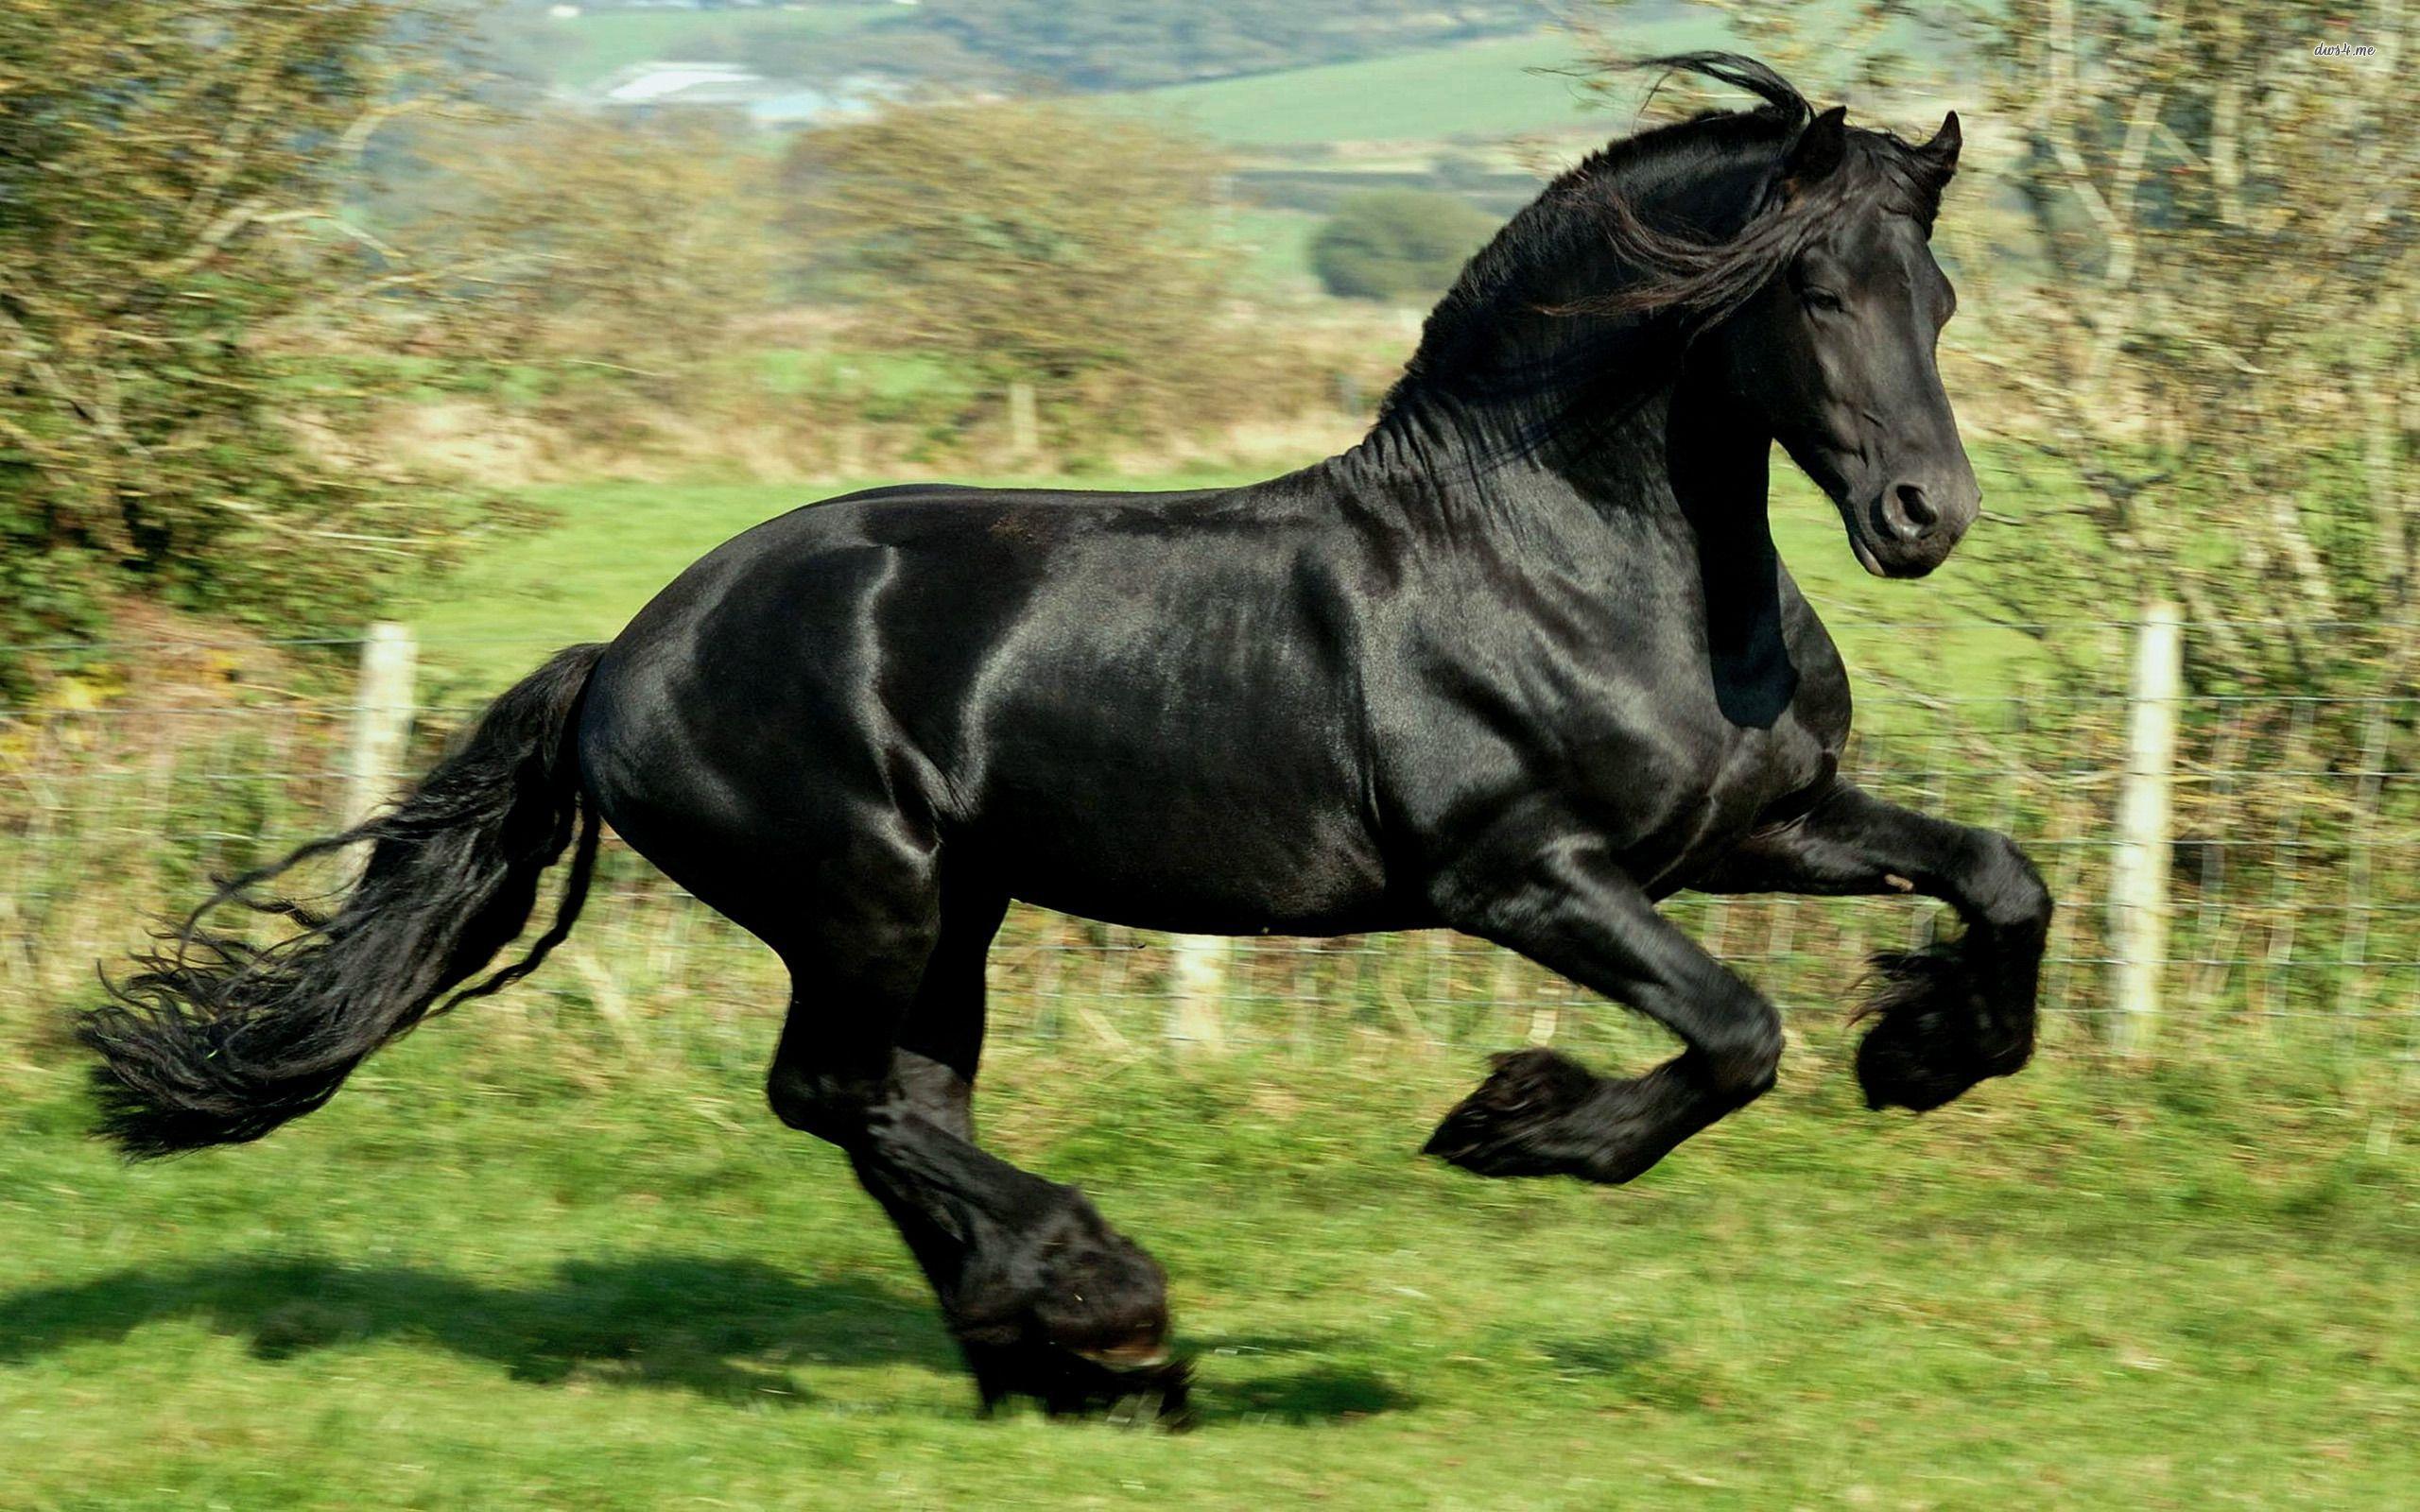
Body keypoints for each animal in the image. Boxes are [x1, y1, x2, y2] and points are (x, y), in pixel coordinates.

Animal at [80, 55, 2052, 1421]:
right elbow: (1734, 1033)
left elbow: (2000, 880)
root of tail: (627, 651)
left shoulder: (1751, 828)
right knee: (844, 1095)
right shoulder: (1523, 876)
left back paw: (1059, 1364)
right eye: (1812, 294)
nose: (1923, 517)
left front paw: (1929, 1054)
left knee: (898, 1105)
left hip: (953, 908)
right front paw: (1512, 1129)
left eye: (1942, 298)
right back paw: (1104, 1307)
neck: (1571, 556)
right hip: (862, 893)